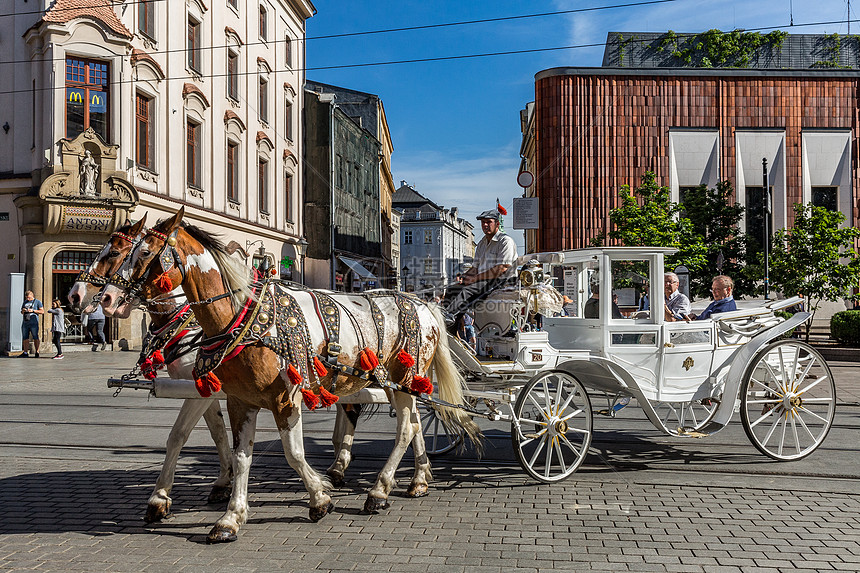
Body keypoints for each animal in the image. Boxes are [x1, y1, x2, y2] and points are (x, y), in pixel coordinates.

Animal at [101, 209, 484, 540]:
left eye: (142, 253)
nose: (106, 299)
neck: (241, 319)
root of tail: (425, 304)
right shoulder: (238, 400)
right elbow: (238, 454)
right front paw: (230, 516)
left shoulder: (284, 399)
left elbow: (292, 453)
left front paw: (320, 497)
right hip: (399, 383)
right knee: (415, 423)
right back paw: (417, 480)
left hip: (405, 378)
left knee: (404, 429)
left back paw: (377, 491)